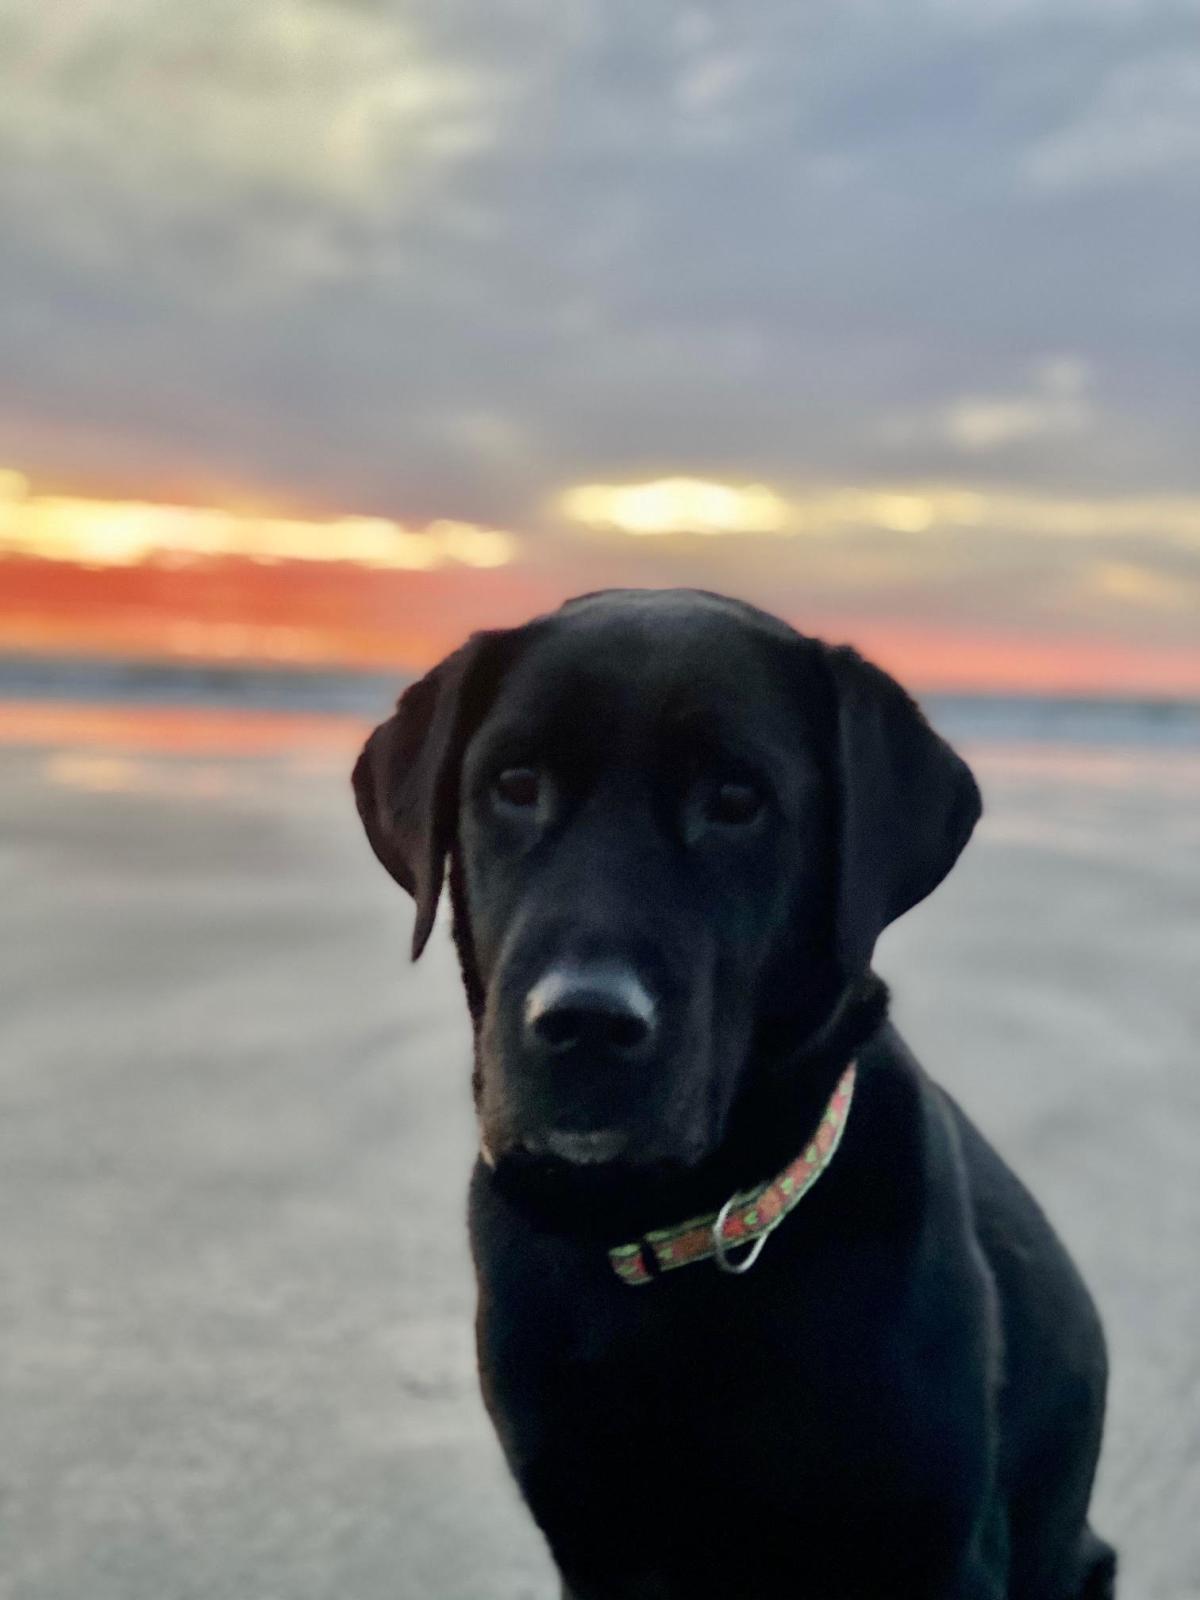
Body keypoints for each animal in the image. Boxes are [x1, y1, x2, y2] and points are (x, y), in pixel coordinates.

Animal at [355, 592, 1120, 1600]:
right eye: (515, 784)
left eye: (736, 802)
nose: (586, 1020)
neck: (670, 1229)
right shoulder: (596, 1540)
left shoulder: (940, 1546)